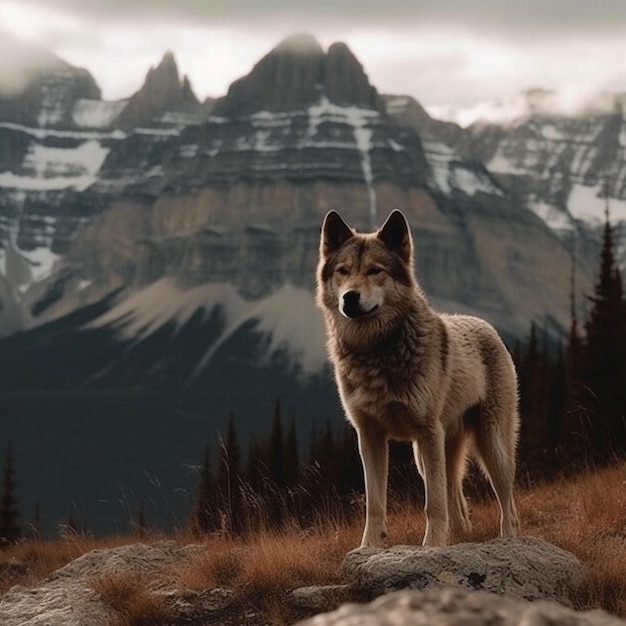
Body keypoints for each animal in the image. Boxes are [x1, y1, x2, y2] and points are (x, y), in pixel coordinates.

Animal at [314, 210, 520, 544]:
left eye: (375, 271)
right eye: (343, 271)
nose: (349, 298)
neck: (375, 351)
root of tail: (486, 325)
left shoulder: (426, 431)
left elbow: (432, 504)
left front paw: (432, 547)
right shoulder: (369, 436)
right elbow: (375, 505)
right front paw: (369, 547)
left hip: (490, 446)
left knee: (507, 505)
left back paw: (508, 540)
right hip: (429, 455)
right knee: (457, 501)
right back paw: (459, 536)